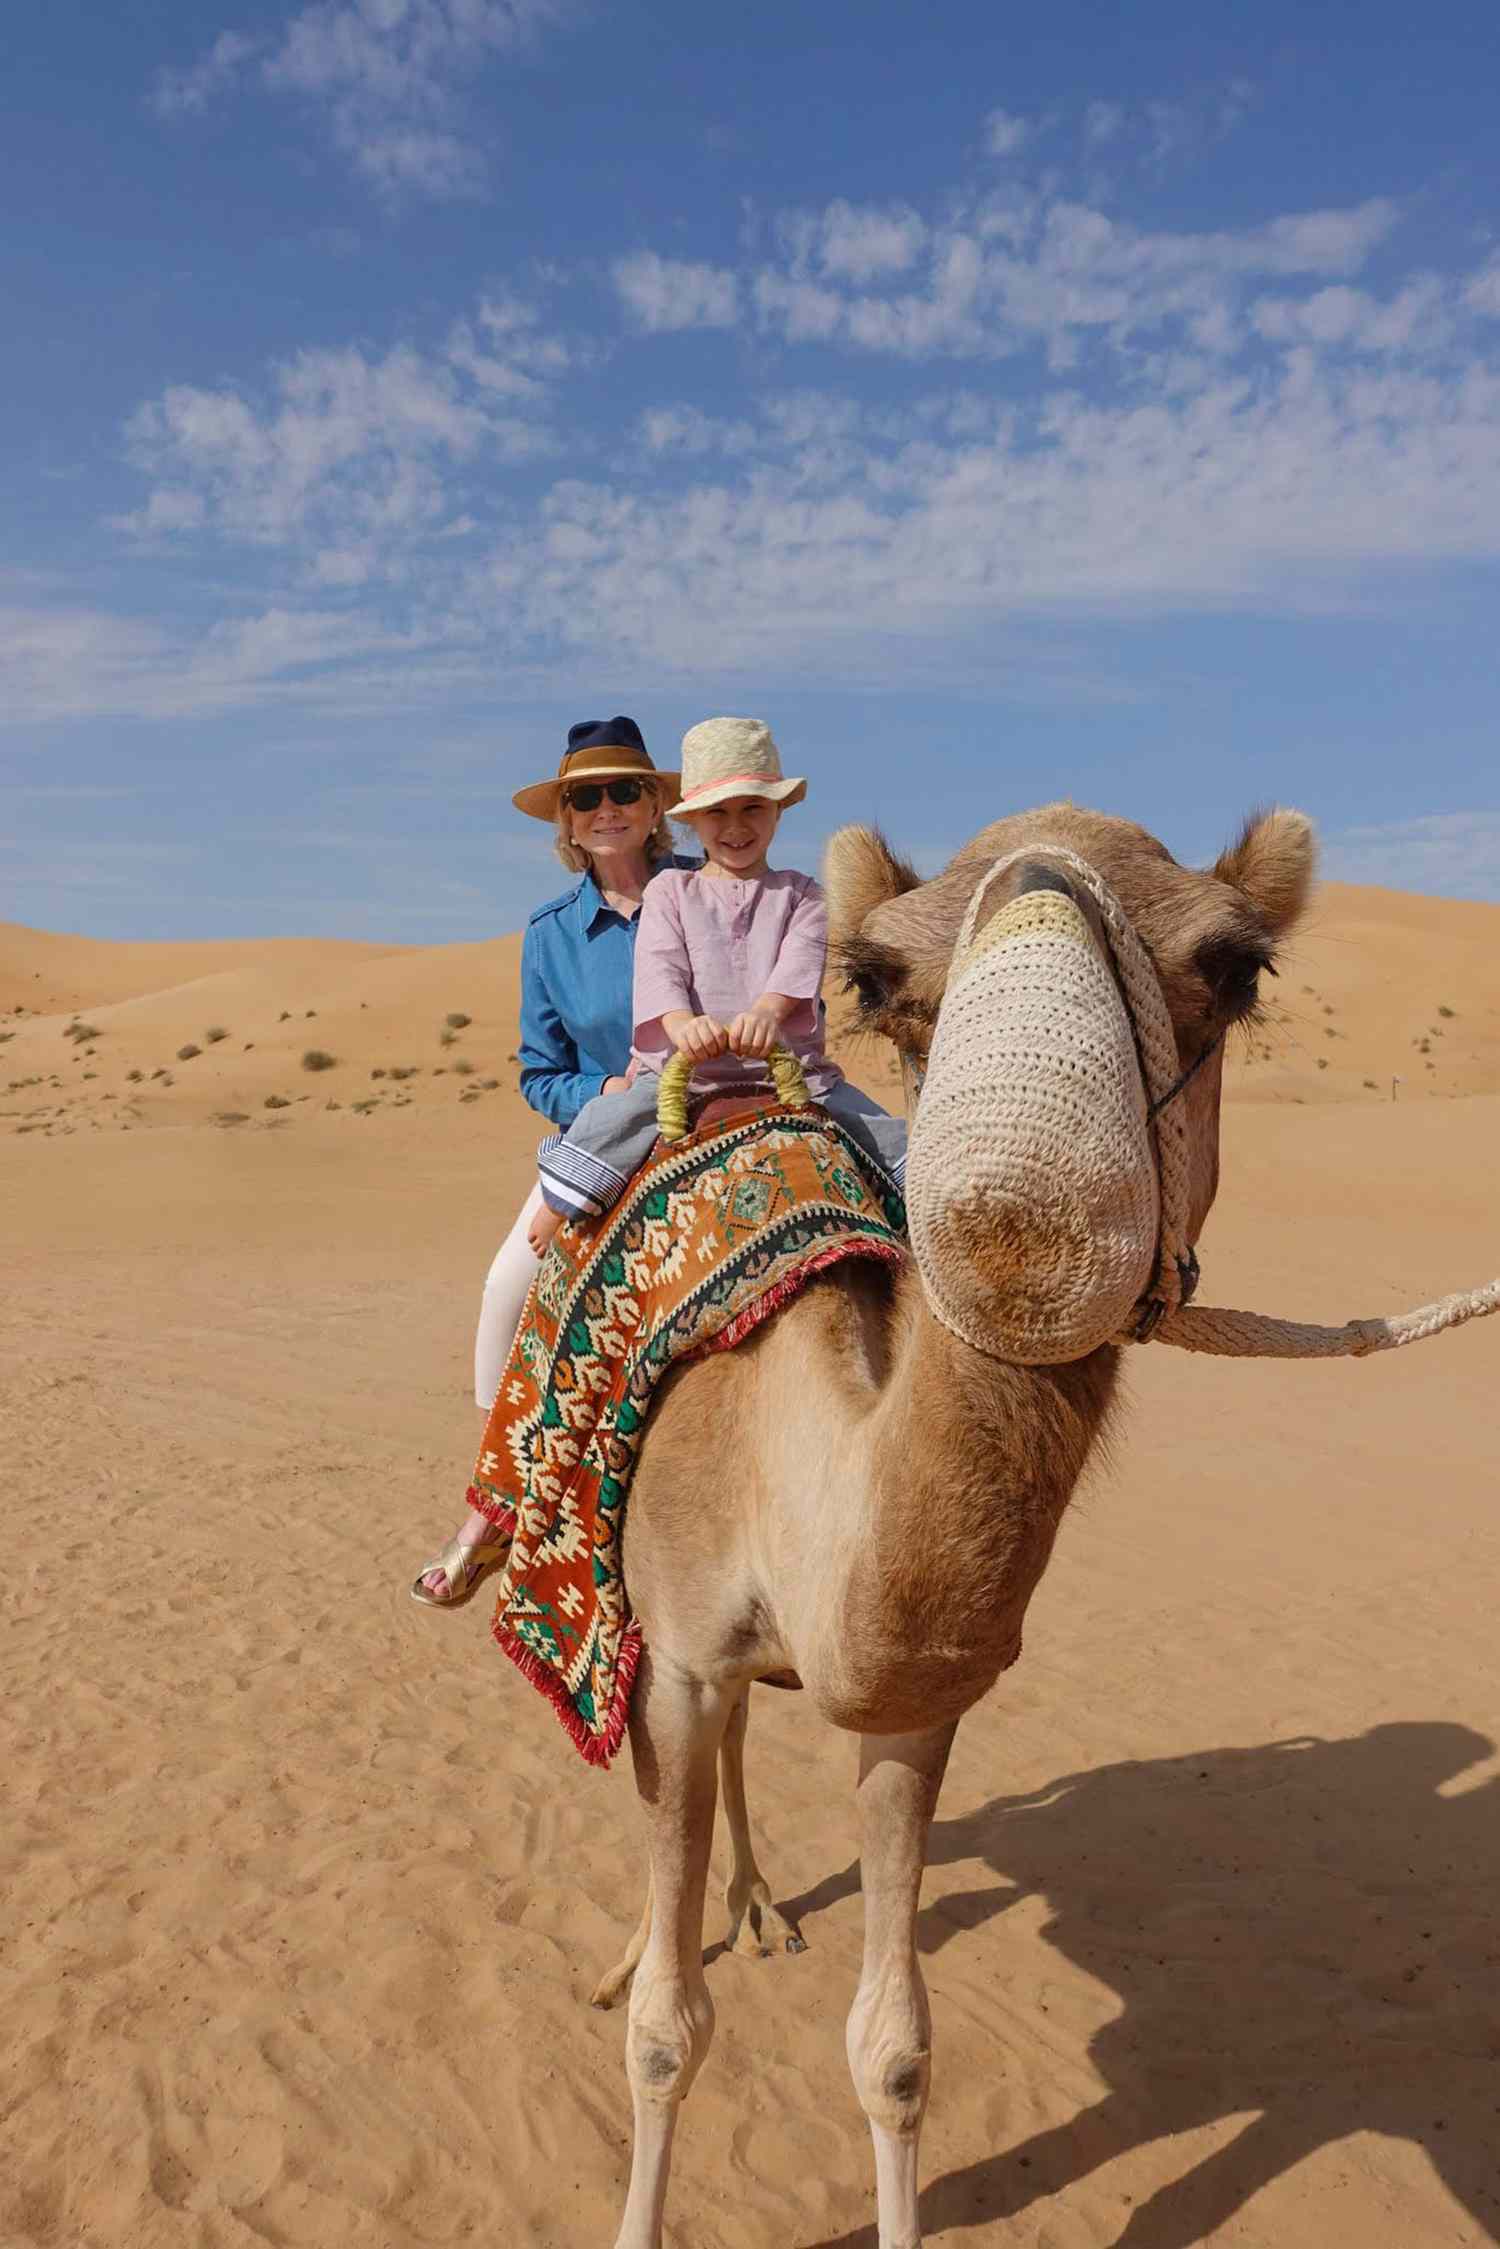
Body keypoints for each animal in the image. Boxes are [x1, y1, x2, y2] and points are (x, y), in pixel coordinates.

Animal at [594, 801, 1317, 2249]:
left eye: (1236, 968)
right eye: (877, 981)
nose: (1026, 1203)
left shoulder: (916, 1705)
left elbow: (894, 2049)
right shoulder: (684, 1653)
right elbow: (663, 2034)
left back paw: (756, 1906)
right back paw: (657, 1927)